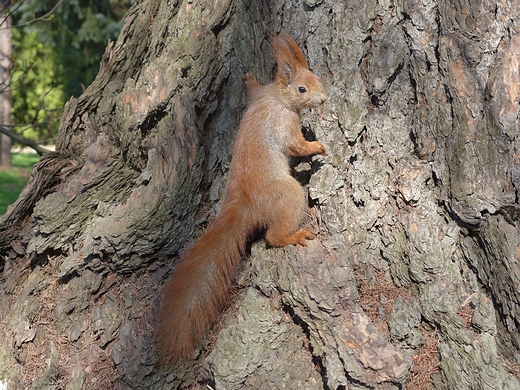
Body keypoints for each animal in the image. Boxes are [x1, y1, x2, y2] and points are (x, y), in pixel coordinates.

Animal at [156, 29, 328, 362]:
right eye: (302, 88)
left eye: (316, 76)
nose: (324, 99)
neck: (277, 97)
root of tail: (247, 204)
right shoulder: (282, 124)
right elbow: (295, 145)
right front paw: (318, 147)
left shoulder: (259, 97)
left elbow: (252, 91)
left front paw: (248, 78)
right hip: (288, 196)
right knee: (272, 237)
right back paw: (294, 236)